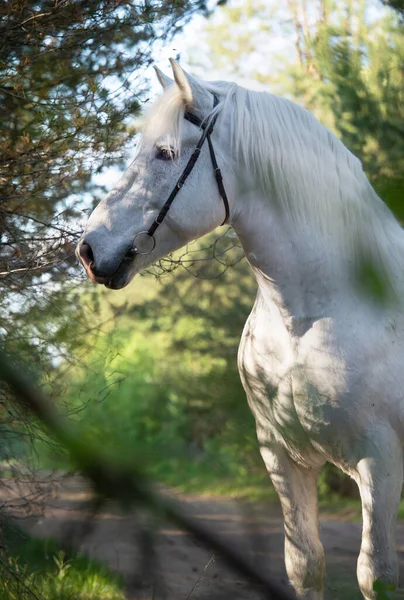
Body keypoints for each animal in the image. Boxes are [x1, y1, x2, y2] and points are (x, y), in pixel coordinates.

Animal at [76, 59, 404, 600]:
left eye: (166, 153)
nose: (88, 250)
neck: (311, 317)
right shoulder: (282, 455)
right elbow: (304, 563)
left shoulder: (379, 462)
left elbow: (375, 575)